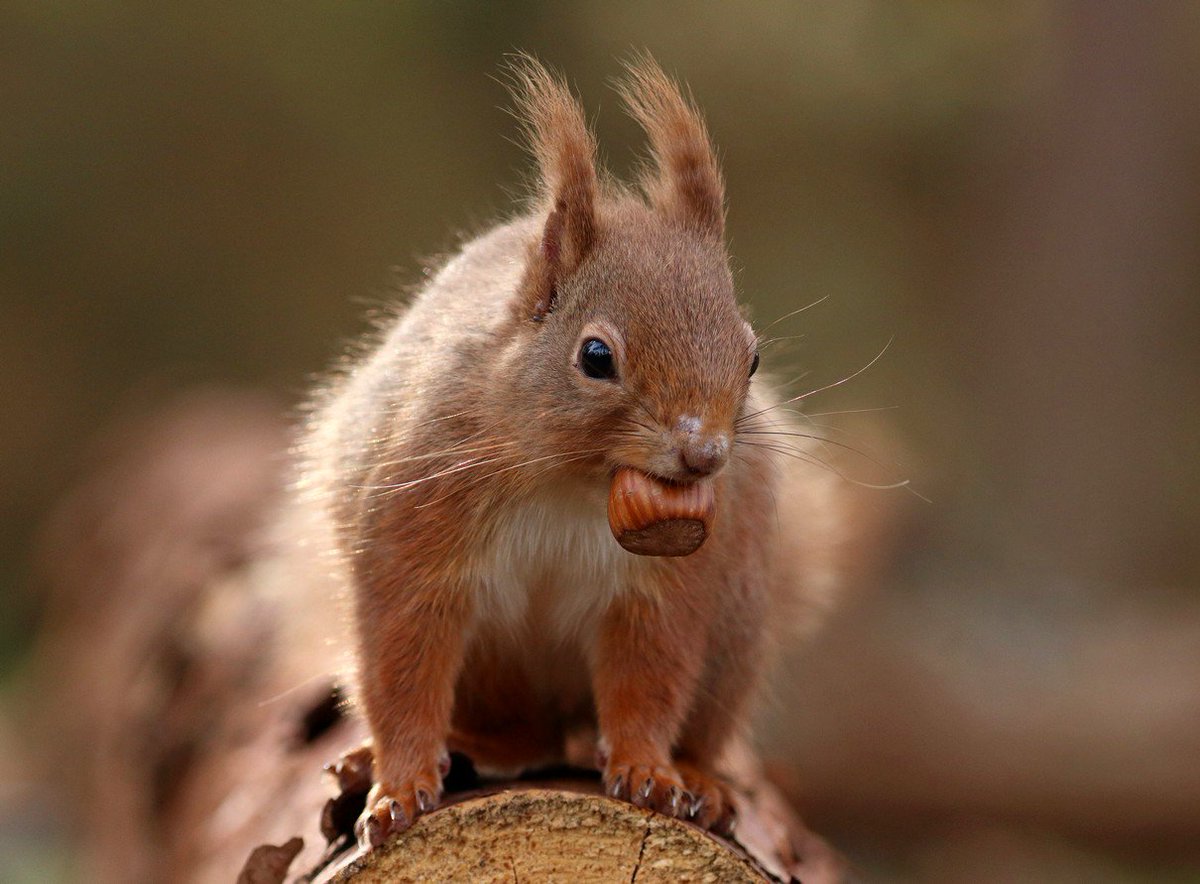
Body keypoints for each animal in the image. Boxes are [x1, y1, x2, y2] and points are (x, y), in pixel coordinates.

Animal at [304, 56, 859, 849]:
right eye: (596, 356)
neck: (573, 483)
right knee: (518, 732)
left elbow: (649, 676)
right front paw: (399, 786)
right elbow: (402, 663)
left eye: (752, 357)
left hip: (736, 635)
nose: (704, 455)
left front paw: (648, 769)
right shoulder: (415, 522)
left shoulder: (663, 589)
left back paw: (702, 780)